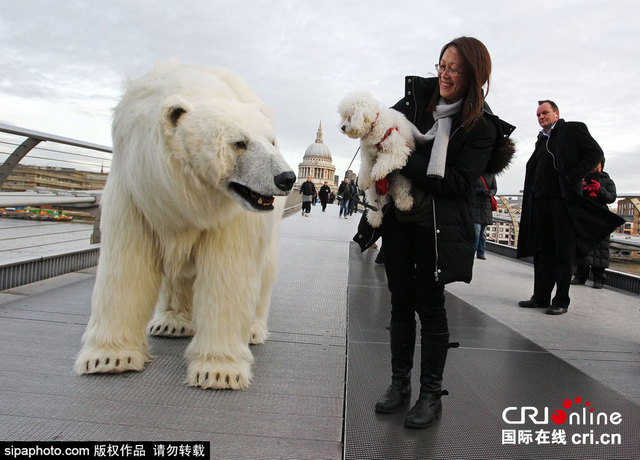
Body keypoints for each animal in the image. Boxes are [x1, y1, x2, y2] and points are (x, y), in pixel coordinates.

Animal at [74, 63, 296, 390]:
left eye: (271, 141)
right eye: (239, 142)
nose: (286, 178)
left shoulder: (231, 214)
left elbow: (228, 271)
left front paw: (218, 371)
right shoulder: (136, 190)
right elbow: (126, 264)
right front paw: (108, 358)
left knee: (264, 271)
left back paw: (253, 330)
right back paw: (171, 322)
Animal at [340, 90, 416, 227]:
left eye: (350, 116)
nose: (342, 127)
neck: (374, 126)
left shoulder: (397, 149)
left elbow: (385, 161)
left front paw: (377, 172)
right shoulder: (367, 155)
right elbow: (366, 168)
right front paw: (364, 181)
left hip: (401, 181)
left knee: (401, 194)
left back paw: (405, 204)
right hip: (373, 191)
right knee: (375, 204)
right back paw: (375, 219)